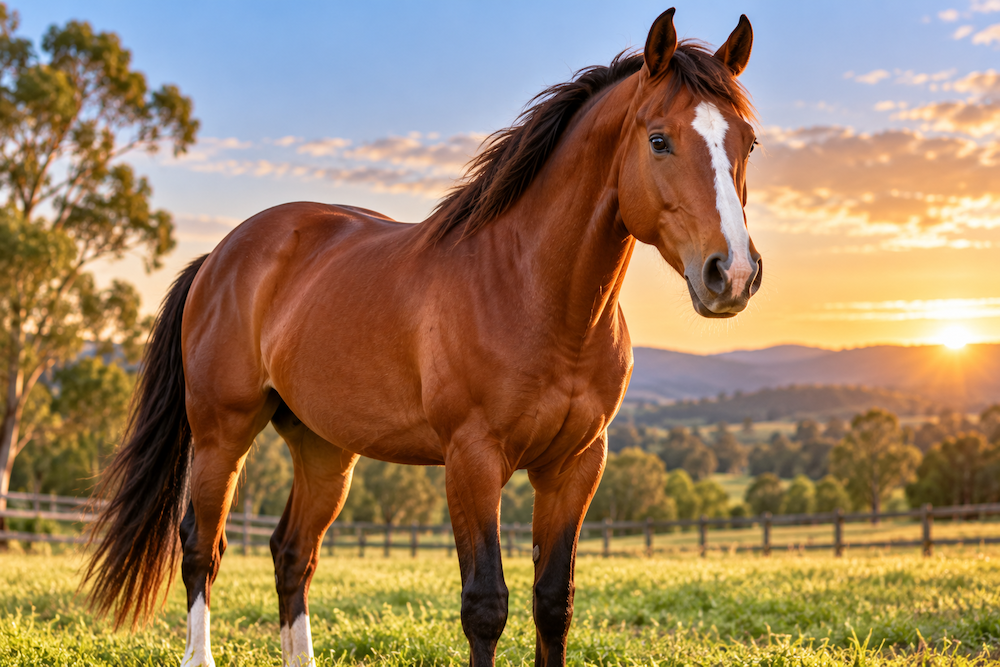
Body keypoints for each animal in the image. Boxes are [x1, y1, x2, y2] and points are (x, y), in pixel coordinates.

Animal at [84, 8, 760, 667]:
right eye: (658, 140)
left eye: (747, 142)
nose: (731, 273)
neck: (531, 292)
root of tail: (221, 255)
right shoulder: (472, 460)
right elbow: (485, 604)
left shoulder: (575, 465)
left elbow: (553, 602)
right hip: (221, 433)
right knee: (201, 546)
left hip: (324, 449)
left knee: (292, 554)